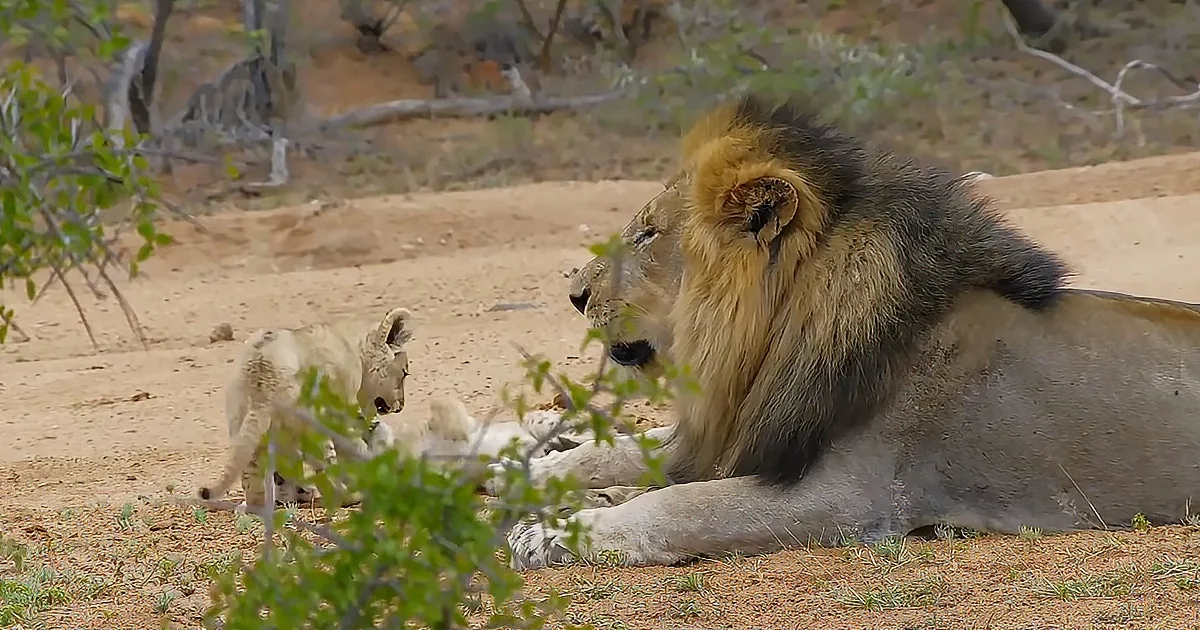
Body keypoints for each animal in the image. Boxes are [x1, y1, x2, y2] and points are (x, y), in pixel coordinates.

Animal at [197, 307, 413, 510]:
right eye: (404, 373)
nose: (401, 406)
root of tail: (264, 374)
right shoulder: (341, 410)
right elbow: (355, 446)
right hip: (309, 422)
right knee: (325, 465)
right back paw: (348, 497)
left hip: (246, 421)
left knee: (254, 468)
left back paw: (261, 505)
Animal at [499, 93, 1200, 570]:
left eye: (647, 234)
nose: (574, 295)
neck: (776, 334)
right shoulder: (736, 431)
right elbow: (615, 450)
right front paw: (529, 471)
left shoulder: (848, 496)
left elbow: (677, 506)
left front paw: (552, 534)